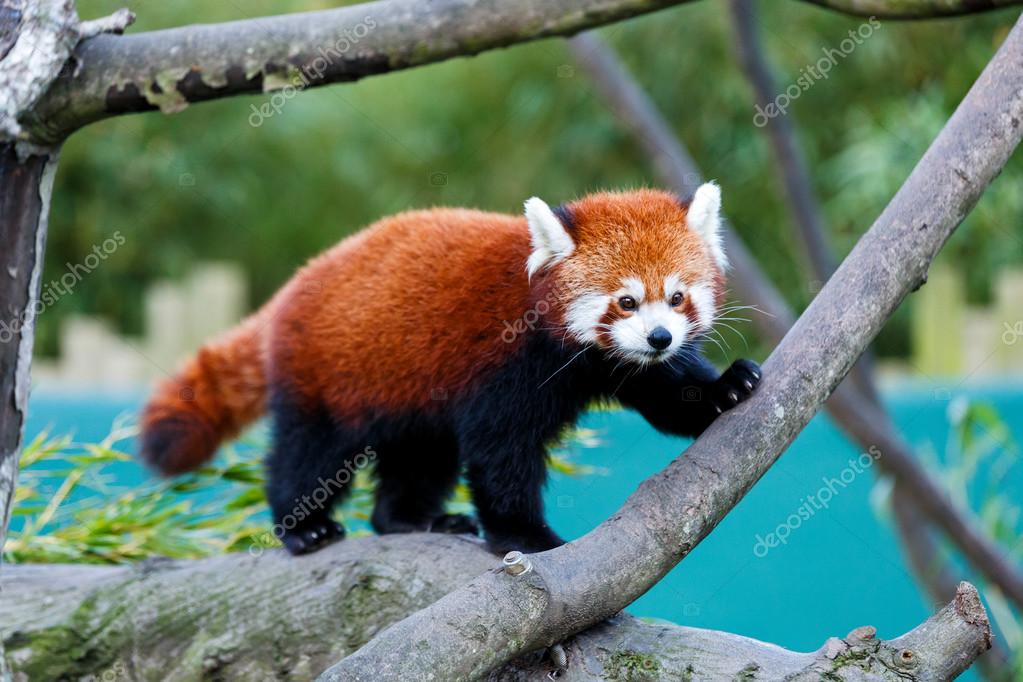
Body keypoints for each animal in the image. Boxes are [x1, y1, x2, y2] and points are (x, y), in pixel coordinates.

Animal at [140, 183, 761, 556]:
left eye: (676, 297)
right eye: (626, 302)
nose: (659, 337)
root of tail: (294, 286)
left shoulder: (619, 364)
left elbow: (667, 392)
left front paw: (726, 388)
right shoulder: (505, 365)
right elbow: (500, 456)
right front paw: (527, 536)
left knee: (419, 460)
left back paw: (411, 520)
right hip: (324, 375)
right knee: (309, 455)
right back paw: (304, 526)